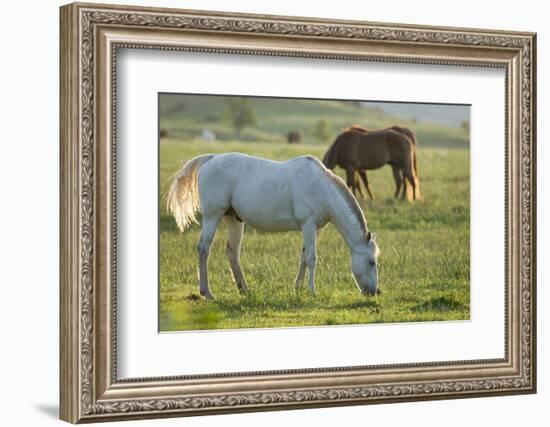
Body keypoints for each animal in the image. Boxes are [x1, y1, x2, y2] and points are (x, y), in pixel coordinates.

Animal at [166, 154, 382, 300]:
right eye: (371, 262)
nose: (374, 292)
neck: (321, 188)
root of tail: (211, 159)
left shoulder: (314, 229)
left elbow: (304, 257)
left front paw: (298, 288)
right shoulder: (308, 225)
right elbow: (312, 259)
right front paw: (312, 291)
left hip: (233, 219)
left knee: (232, 252)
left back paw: (244, 289)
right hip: (213, 215)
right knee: (204, 249)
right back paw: (207, 293)